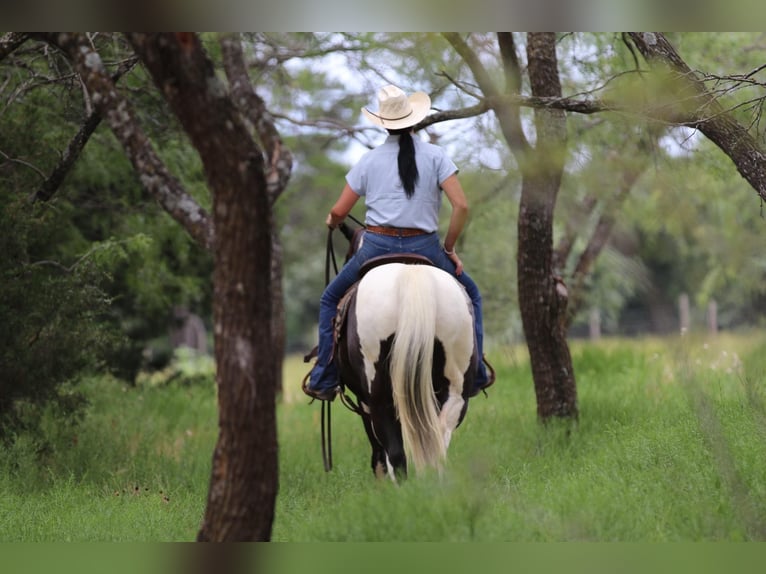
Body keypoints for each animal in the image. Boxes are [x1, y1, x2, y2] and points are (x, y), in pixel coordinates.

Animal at [336, 256, 480, 482]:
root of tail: (411, 276)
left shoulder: (364, 403)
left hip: (379, 398)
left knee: (396, 453)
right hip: (455, 393)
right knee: (437, 443)